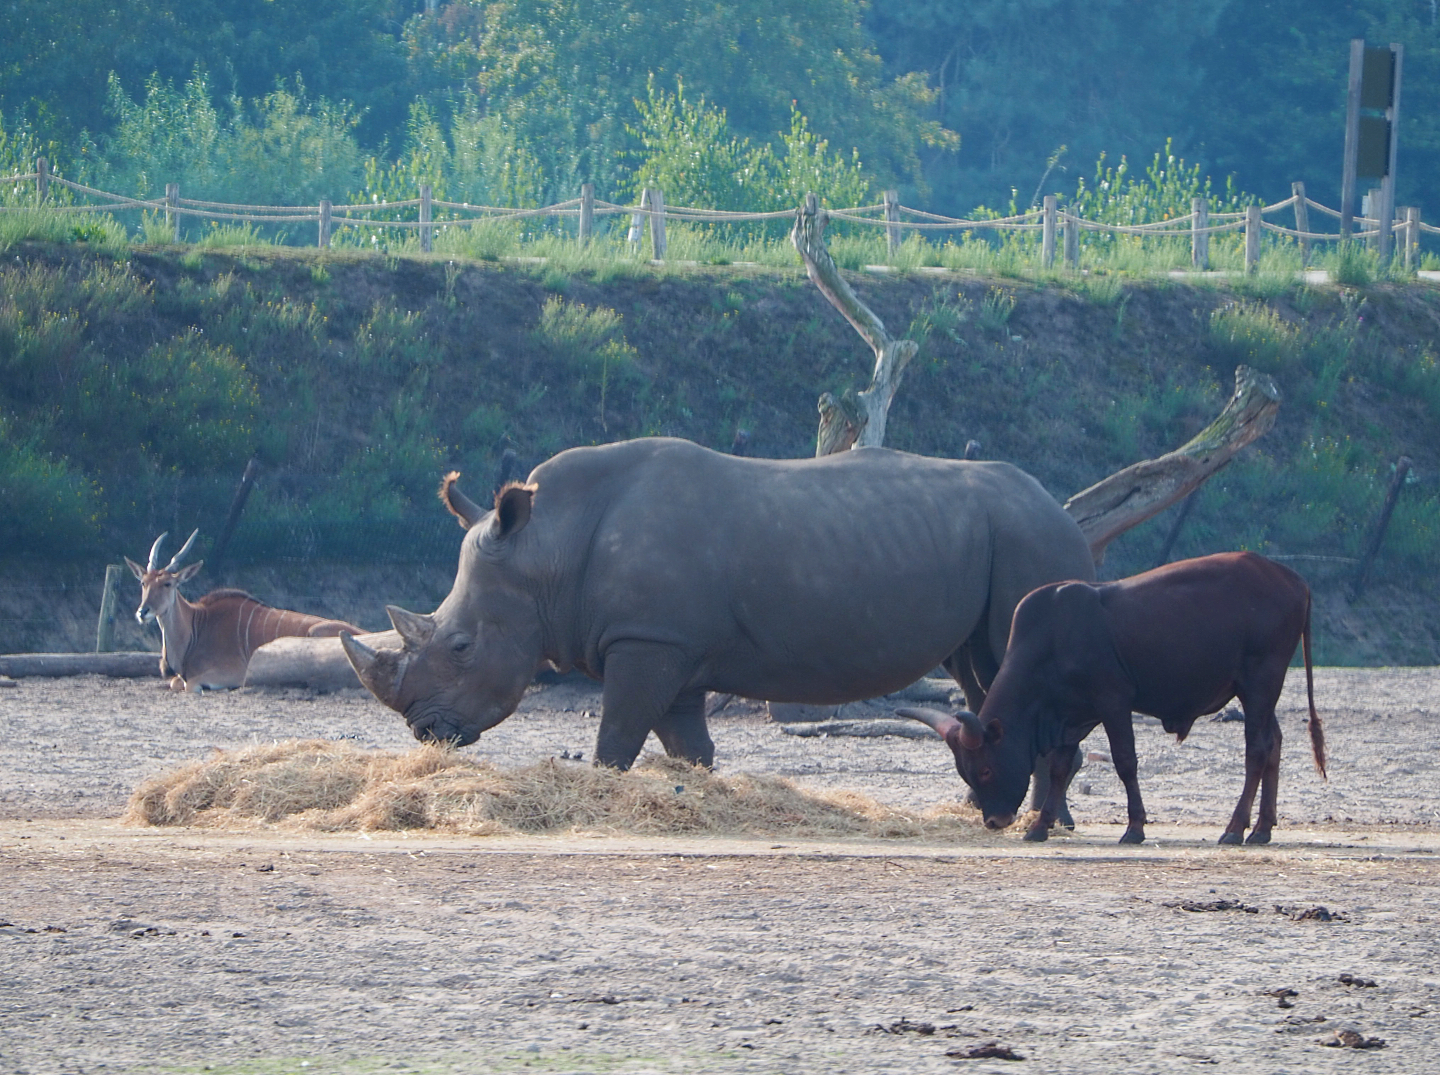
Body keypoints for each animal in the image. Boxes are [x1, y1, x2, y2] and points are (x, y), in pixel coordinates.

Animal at [126, 530, 363, 692]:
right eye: (143, 583)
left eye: (167, 584)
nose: (142, 612)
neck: (196, 626)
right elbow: (176, 682)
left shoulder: (233, 672)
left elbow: (189, 685)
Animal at [339, 437, 1097, 772]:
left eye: (461, 645)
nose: (426, 733)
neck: (545, 548)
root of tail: (1060, 509)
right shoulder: (669, 643)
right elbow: (685, 744)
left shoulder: (645, 639)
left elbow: (617, 735)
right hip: (1003, 537)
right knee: (981, 673)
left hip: (1030, 539)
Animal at [899, 551, 1325, 846]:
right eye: (966, 773)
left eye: (986, 769)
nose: (994, 821)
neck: (1051, 639)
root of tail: (1294, 580)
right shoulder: (1071, 716)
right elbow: (1058, 769)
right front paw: (1040, 826)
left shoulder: (1113, 702)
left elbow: (1125, 762)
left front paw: (1134, 827)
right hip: (1256, 691)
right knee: (1274, 745)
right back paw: (1262, 828)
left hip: (1260, 683)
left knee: (1257, 751)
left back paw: (1235, 829)